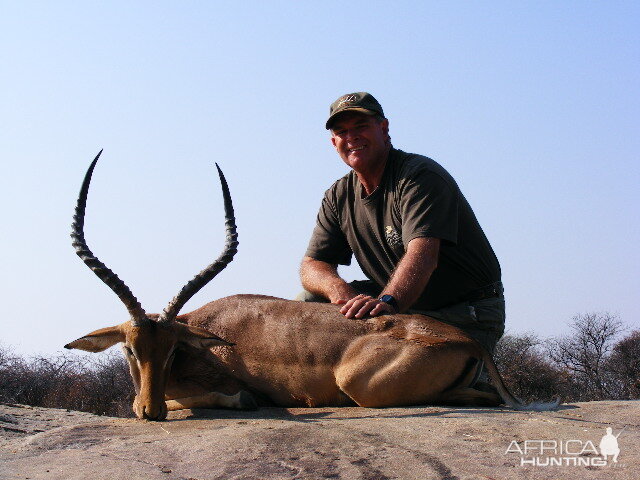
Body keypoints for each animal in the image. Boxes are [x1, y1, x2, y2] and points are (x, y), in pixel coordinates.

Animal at [62, 152, 556, 418]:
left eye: (170, 350)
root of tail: (468, 341)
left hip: (360, 385)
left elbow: (231, 396)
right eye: (131, 349)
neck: (207, 336)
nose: (152, 411)